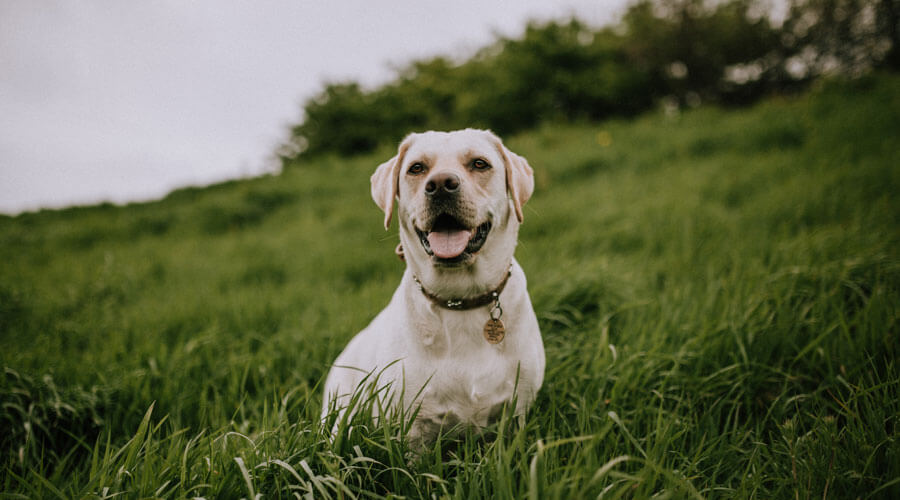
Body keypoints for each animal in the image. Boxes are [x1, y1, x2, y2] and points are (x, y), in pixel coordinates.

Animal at [324, 129, 548, 446]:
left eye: (479, 164)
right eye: (416, 168)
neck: (459, 300)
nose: (441, 184)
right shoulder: (410, 428)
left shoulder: (518, 412)